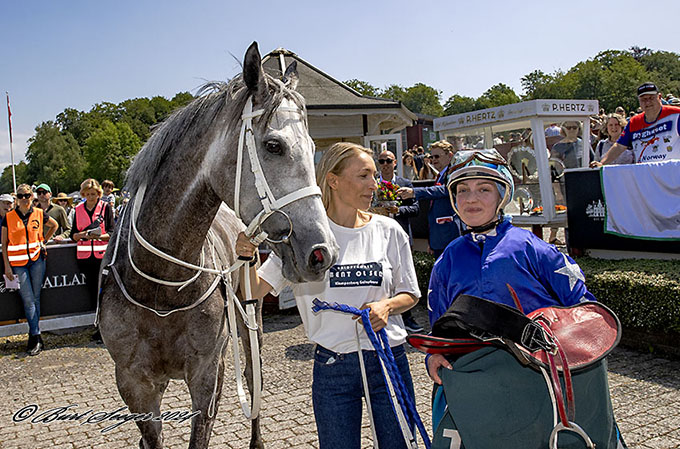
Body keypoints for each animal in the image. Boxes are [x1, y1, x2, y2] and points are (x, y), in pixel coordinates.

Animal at [97, 40, 338, 446]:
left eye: (312, 146)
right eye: (274, 145)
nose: (323, 252)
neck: (159, 285)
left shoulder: (208, 374)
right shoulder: (134, 384)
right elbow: (151, 437)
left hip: (250, 325)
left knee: (254, 385)